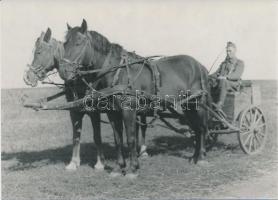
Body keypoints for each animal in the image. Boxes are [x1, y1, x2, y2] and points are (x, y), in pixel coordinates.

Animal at [22, 28, 105, 171]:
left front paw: (99, 163)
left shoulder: (95, 111)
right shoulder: (74, 110)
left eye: (39, 52)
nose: (28, 77)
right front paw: (73, 162)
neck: (79, 78)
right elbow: (76, 136)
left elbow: (97, 136)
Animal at [62, 19, 211, 177]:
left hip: (198, 104)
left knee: (201, 128)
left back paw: (201, 158)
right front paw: (118, 168)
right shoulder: (112, 112)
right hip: (187, 107)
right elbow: (118, 139)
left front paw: (133, 169)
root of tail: (199, 66)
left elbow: (131, 138)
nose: (64, 71)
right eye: (65, 44)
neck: (118, 72)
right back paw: (194, 157)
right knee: (195, 129)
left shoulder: (129, 111)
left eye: (79, 42)